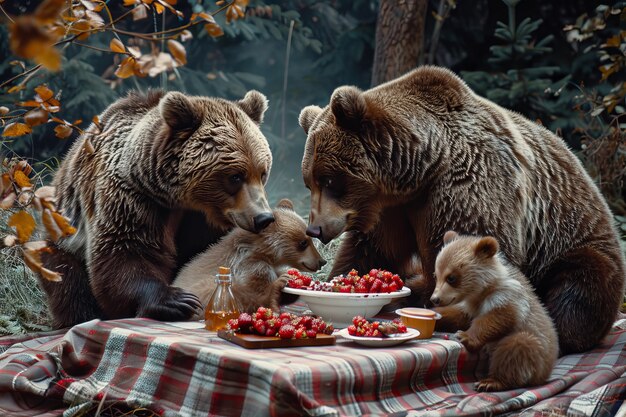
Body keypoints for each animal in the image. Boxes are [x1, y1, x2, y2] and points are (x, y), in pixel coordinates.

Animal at [39, 88, 272, 328]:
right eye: (235, 177)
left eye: (262, 173)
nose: (263, 218)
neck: (184, 199)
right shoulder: (135, 198)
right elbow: (126, 249)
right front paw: (179, 300)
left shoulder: (204, 220)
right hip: (64, 237)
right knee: (69, 283)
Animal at [298, 66, 624, 354]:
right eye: (309, 182)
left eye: (329, 180)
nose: (315, 228)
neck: (421, 170)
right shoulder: (390, 209)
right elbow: (371, 251)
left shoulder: (466, 187)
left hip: (569, 238)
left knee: (580, 287)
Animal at [428, 231, 556, 390]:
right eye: (435, 275)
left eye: (451, 277)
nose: (435, 299)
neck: (480, 291)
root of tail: (545, 372)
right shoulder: (470, 306)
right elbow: (458, 315)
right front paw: (433, 314)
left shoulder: (507, 296)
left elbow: (497, 318)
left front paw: (465, 336)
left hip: (536, 348)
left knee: (515, 349)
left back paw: (491, 381)